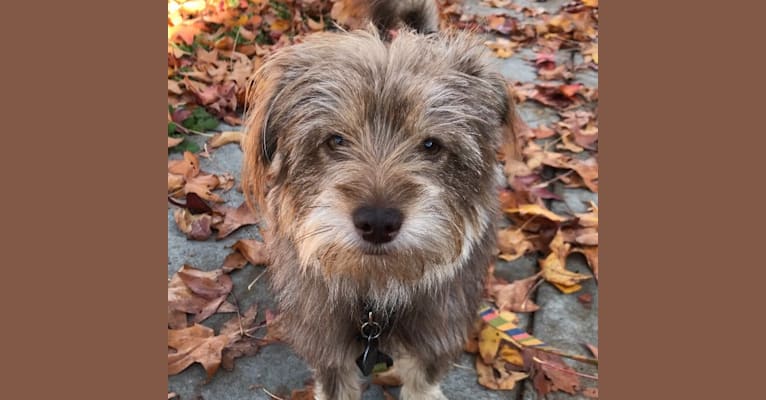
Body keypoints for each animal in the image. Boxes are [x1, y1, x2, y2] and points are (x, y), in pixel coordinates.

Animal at [243, 1, 520, 398]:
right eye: (335, 140)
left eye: (431, 145)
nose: (377, 223)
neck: (377, 293)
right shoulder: (329, 349)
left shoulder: (435, 334)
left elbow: (422, 383)